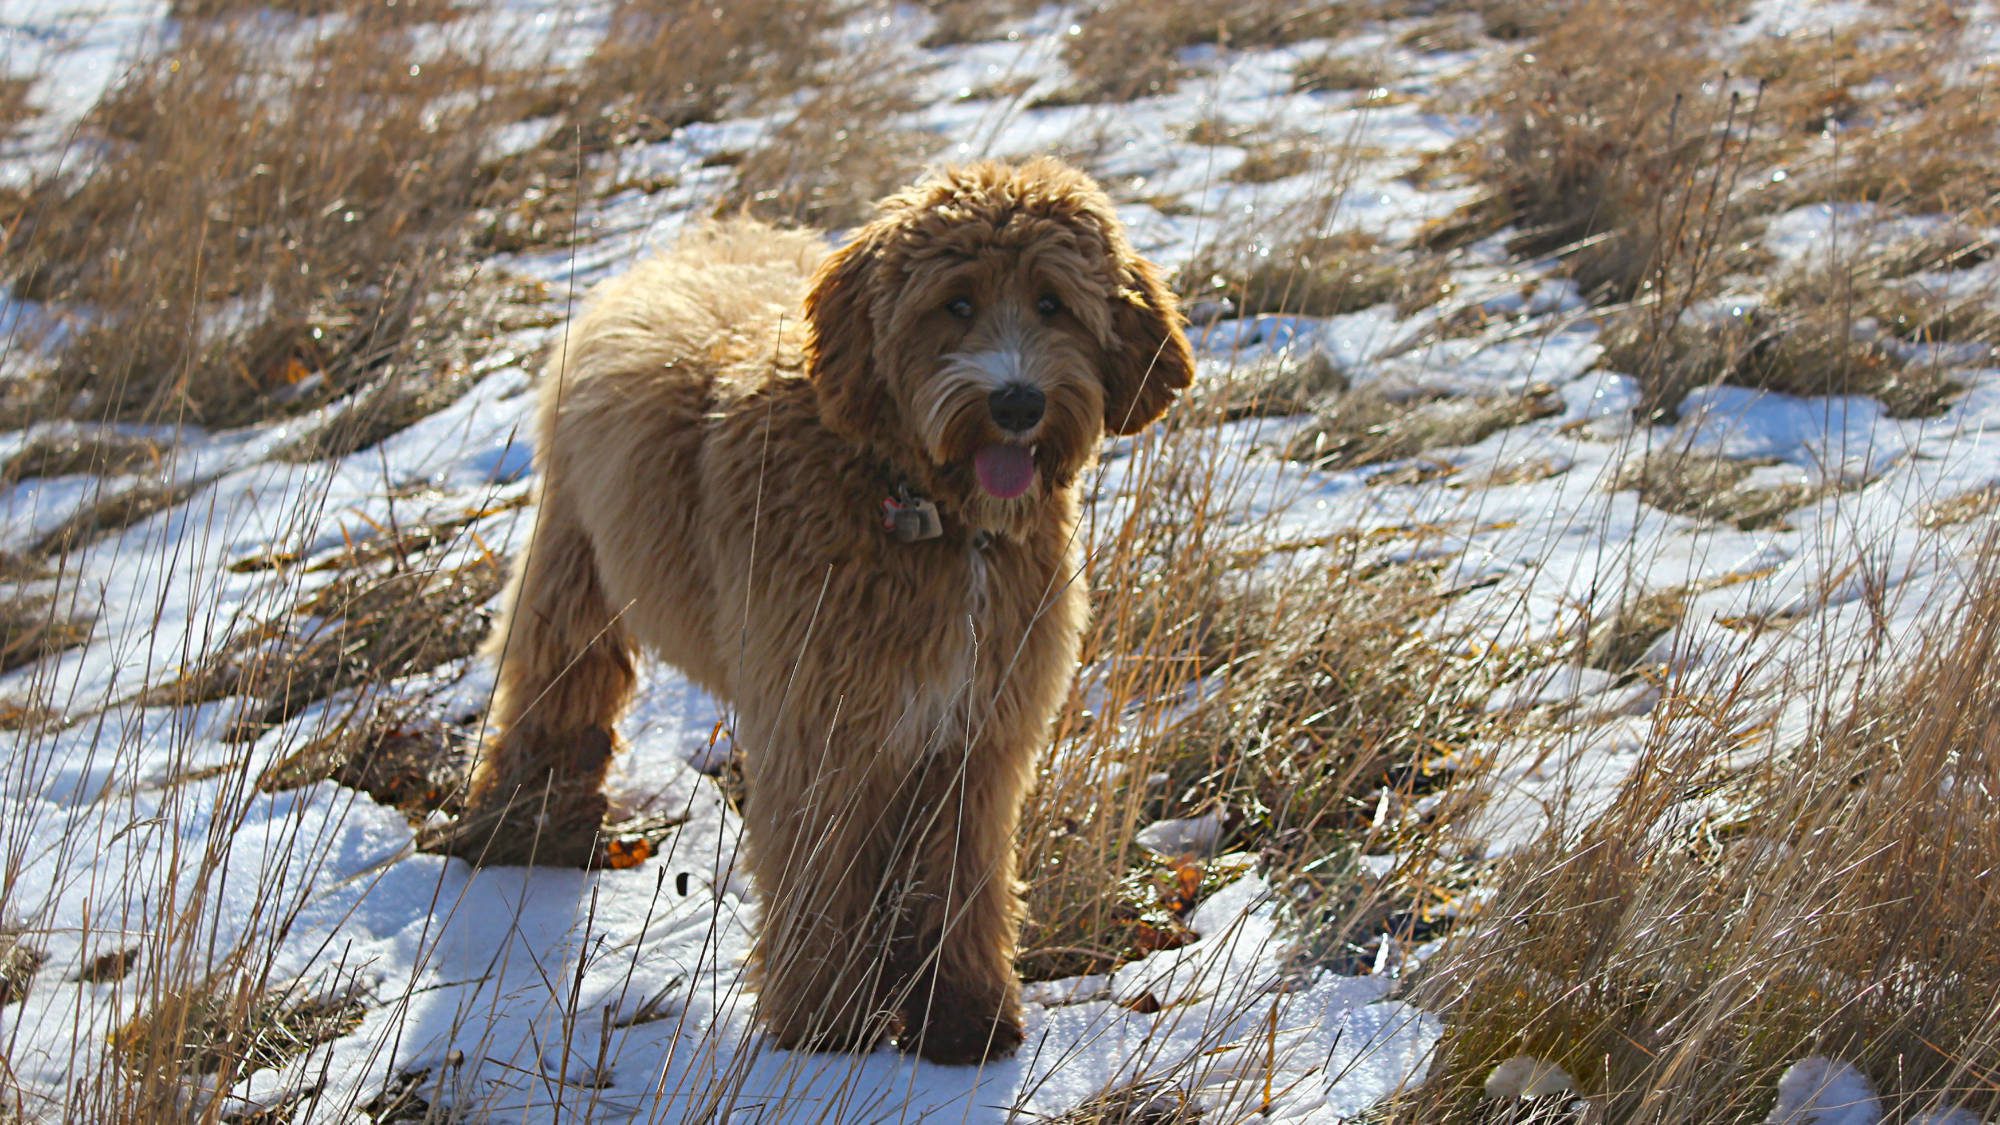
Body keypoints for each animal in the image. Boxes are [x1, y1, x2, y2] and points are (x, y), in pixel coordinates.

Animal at [446, 158, 1192, 1056]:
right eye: (957, 302)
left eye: (1053, 302)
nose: (1016, 403)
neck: (919, 504)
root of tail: (708, 234)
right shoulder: (821, 727)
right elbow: (820, 872)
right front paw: (826, 1021)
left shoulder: (975, 739)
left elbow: (960, 880)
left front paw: (965, 1018)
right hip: (573, 558)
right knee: (555, 683)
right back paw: (522, 826)